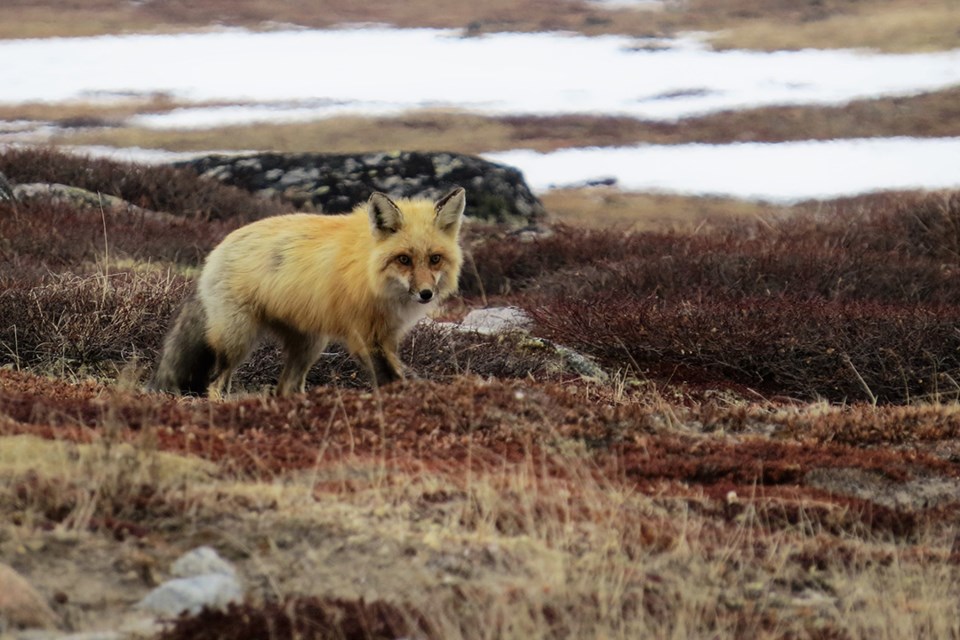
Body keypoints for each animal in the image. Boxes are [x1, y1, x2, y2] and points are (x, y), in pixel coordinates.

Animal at [150, 186, 464, 396]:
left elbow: (397, 373)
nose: (426, 294)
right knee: (216, 383)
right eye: (404, 259)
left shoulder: (387, 335)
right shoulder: (363, 335)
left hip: (309, 344)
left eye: (435, 259)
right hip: (237, 338)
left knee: (286, 387)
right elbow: (390, 378)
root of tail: (216, 250)